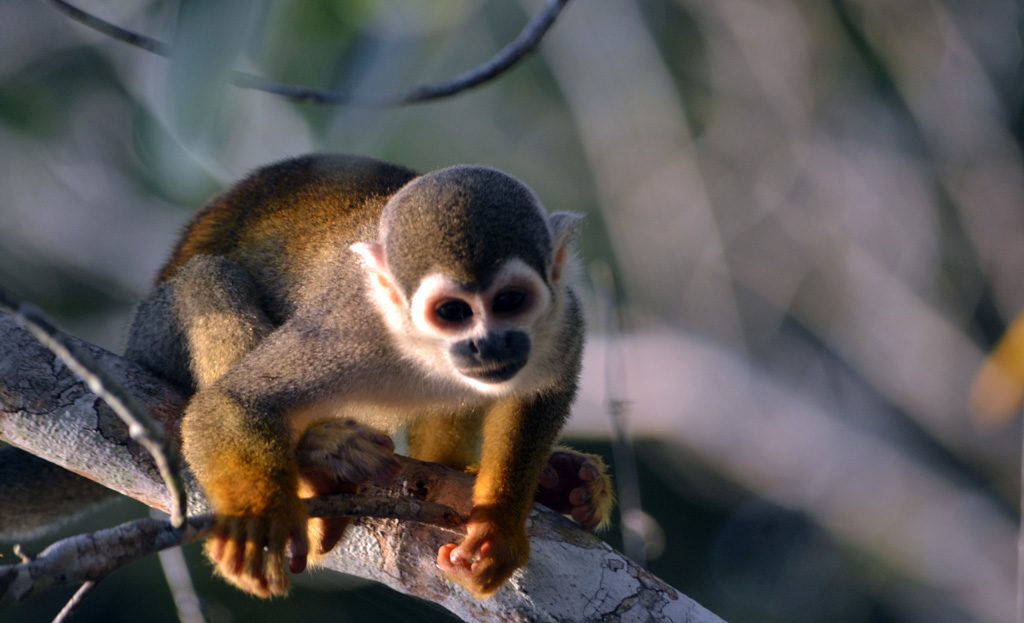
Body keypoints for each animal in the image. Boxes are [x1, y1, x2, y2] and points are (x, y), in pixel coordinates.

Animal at [113, 154, 614, 598]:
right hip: (154, 333)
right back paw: (318, 461)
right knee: (207, 276)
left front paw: (499, 526)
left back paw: (557, 481)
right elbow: (234, 400)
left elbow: (542, 391)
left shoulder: (562, 316)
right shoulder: (345, 327)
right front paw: (258, 519)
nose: (487, 345)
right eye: (452, 312)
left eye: (511, 301)